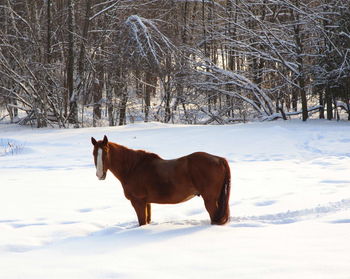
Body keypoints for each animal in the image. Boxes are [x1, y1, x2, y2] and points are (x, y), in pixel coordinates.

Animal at [91, 136, 231, 228]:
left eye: (106, 153)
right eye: (93, 153)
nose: (99, 175)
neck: (133, 167)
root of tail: (219, 159)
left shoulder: (138, 202)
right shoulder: (146, 203)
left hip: (210, 200)